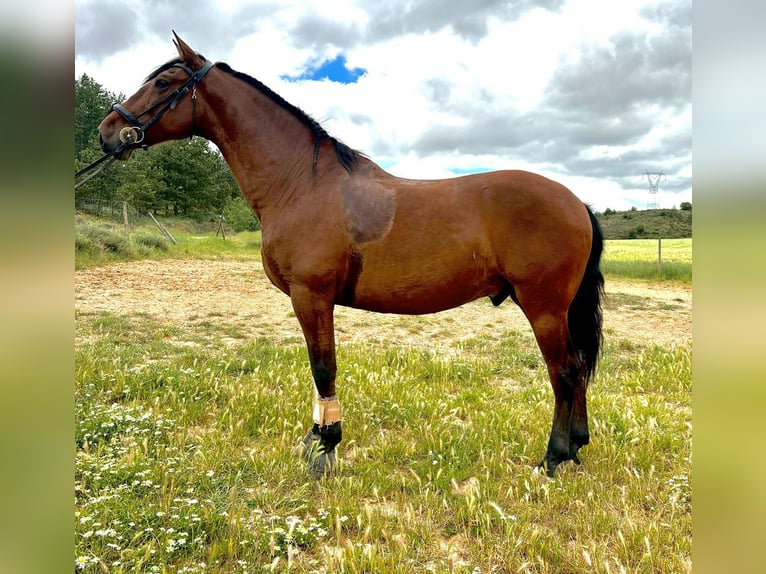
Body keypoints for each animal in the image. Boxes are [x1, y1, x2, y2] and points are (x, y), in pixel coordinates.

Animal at [97, 33, 608, 480]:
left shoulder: (311, 295)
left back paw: (554, 457)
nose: (108, 132)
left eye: (164, 82)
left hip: (543, 306)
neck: (301, 183)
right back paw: (577, 447)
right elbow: (318, 369)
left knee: (564, 373)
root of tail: (576, 202)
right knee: (577, 369)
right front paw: (314, 440)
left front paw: (324, 449)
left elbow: (323, 367)